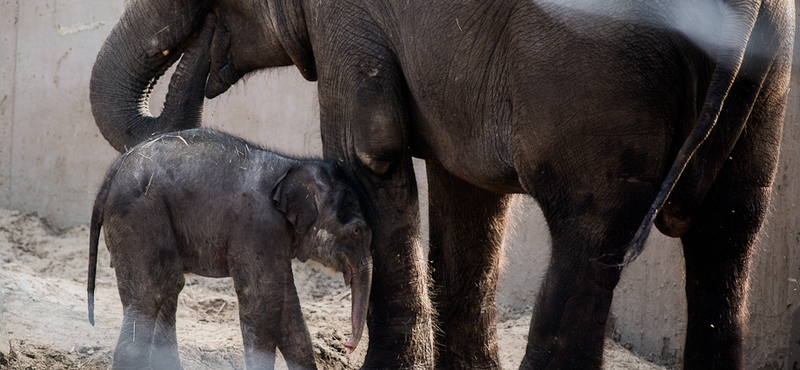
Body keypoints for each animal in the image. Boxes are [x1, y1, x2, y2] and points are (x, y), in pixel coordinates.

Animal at [86, 128, 374, 370]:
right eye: (357, 230)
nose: (347, 345)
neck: (291, 165)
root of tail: (112, 172)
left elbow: (288, 311)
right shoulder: (258, 226)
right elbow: (262, 303)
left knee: (165, 289)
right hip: (140, 214)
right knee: (152, 293)